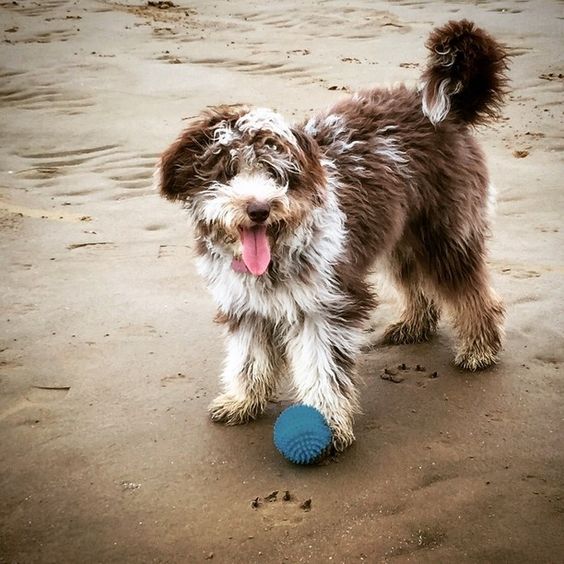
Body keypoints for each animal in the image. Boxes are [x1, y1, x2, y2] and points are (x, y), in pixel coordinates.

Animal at [156, 22, 508, 452]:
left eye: (276, 173)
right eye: (226, 171)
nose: (259, 209)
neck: (276, 255)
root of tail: (447, 112)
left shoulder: (323, 306)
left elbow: (321, 367)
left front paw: (325, 423)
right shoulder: (247, 306)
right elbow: (249, 358)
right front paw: (243, 401)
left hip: (443, 232)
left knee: (470, 291)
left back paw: (480, 348)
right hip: (400, 235)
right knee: (417, 282)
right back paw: (413, 324)